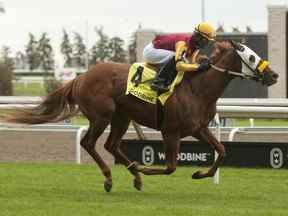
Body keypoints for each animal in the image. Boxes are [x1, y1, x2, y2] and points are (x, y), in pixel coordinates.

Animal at [3, 40, 276, 192]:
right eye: (251, 56)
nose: (274, 75)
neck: (198, 89)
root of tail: (81, 77)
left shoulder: (199, 129)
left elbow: (221, 151)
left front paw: (200, 174)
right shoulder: (171, 131)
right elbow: (170, 167)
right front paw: (144, 168)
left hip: (122, 117)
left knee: (111, 145)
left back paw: (133, 175)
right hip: (103, 116)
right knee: (89, 143)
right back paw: (113, 177)